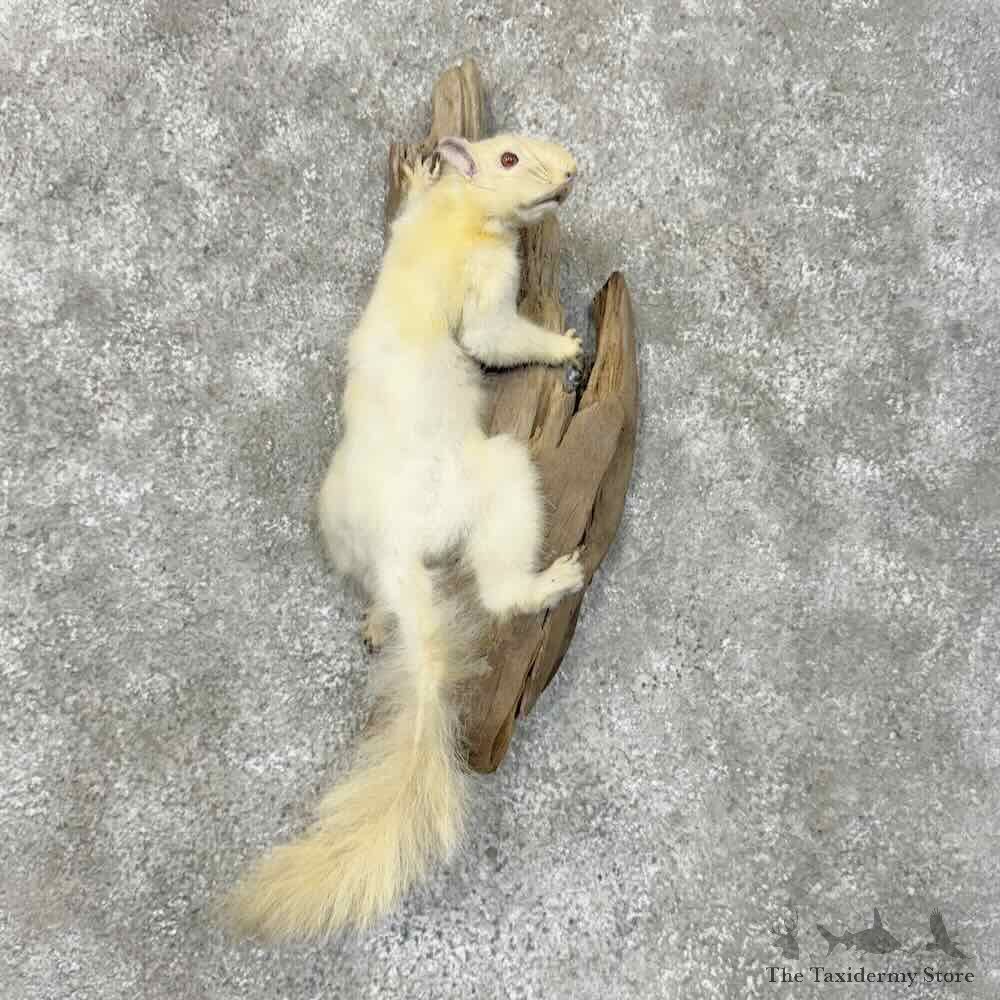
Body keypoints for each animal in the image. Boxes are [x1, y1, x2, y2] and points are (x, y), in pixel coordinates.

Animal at [225, 133, 585, 940]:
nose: (573, 172)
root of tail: (395, 550)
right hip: (499, 476)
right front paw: (565, 341)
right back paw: (555, 580)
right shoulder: (485, 283)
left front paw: (419, 170)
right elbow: (495, 337)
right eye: (510, 158)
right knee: (498, 590)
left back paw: (377, 621)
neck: (457, 212)